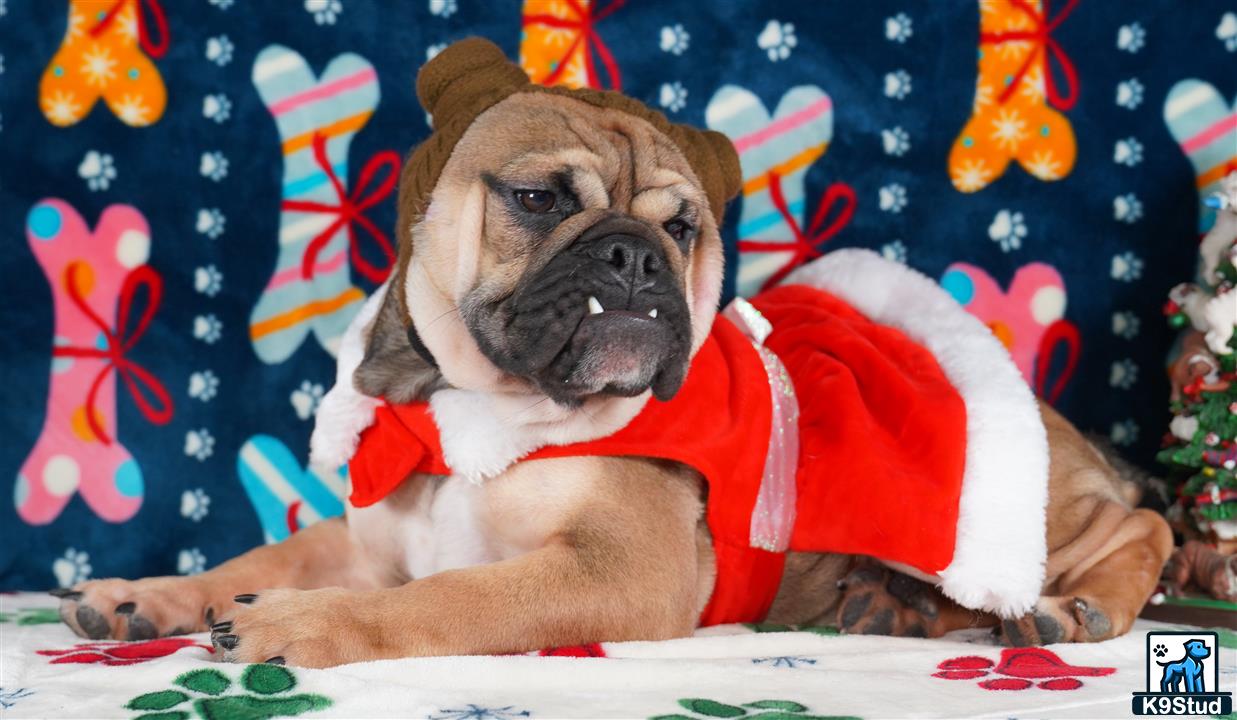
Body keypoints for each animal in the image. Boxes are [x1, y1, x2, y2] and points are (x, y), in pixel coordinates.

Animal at [50, 40, 1167, 672]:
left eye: (682, 230)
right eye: (537, 199)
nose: (633, 257)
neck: (467, 412)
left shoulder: (619, 567)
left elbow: (449, 597)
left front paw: (308, 625)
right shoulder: (364, 537)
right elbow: (253, 559)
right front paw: (147, 596)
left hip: (1006, 505)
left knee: (1136, 526)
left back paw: (1071, 609)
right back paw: (885, 609)